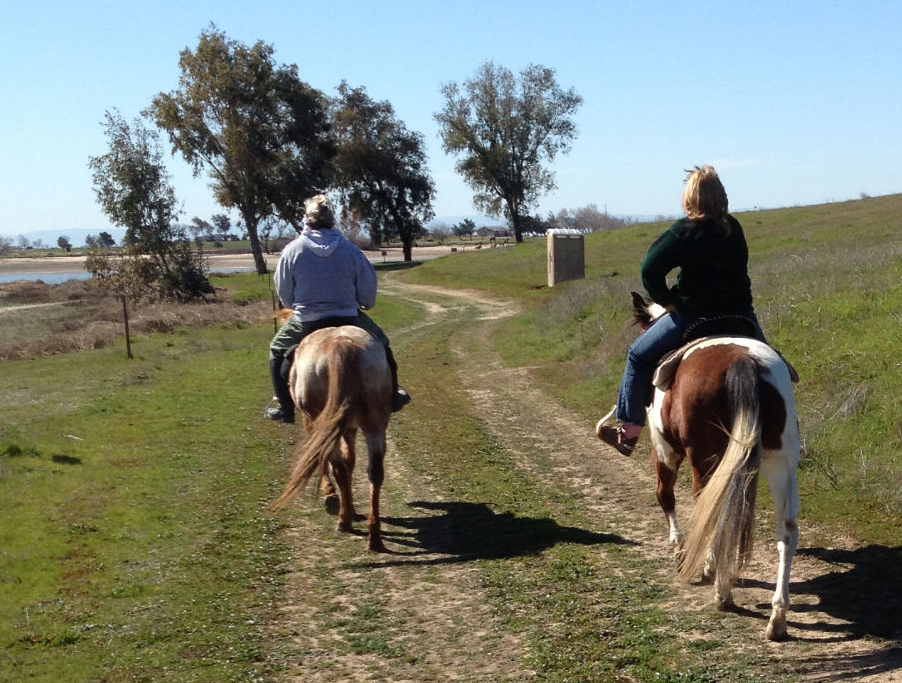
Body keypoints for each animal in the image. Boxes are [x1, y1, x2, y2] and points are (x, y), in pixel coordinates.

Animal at [271, 324, 393, 552]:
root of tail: (341, 344)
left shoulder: (312, 424)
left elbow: (324, 458)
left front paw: (331, 494)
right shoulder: (349, 427)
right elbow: (350, 459)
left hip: (321, 420)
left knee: (338, 468)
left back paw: (344, 520)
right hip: (375, 424)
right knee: (374, 472)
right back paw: (373, 535)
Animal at [599, 293, 800, 641]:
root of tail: (746, 362)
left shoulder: (664, 451)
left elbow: (665, 496)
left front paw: (681, 553)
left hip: (705, 459)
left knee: (712, 509)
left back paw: (722, 591)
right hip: (781, 460)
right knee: (786, 529)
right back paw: (777, 617)